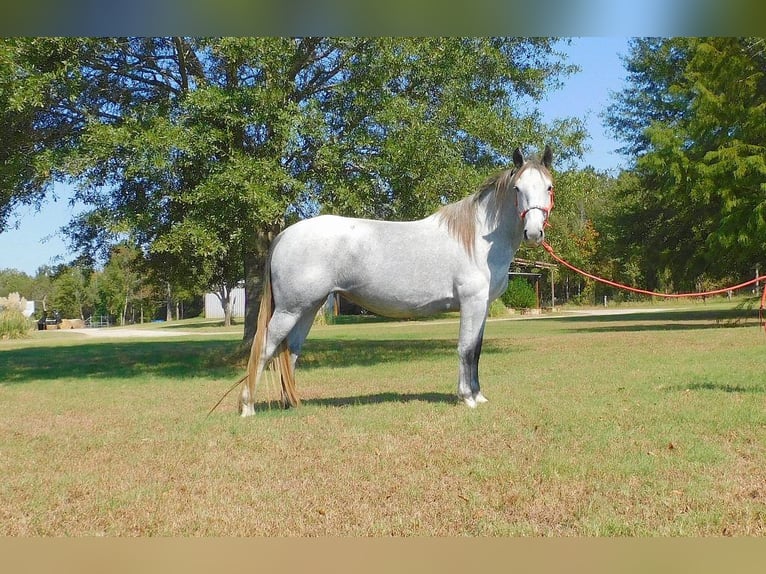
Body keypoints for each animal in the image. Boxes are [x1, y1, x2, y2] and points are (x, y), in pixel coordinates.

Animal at [237, 146, 556, 416]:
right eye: (517, 189)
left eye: (549, 187)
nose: (533, 233)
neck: (477, 238)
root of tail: (285, 235)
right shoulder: (472, 302)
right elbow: (466, 348)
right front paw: (467, 397)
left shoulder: (484, 306)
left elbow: (476, 350)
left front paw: (478, 395)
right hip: (289, 310)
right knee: (264, 347)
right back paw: (248, 407)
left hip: (307, 308)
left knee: (290, 351)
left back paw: (291, 404)